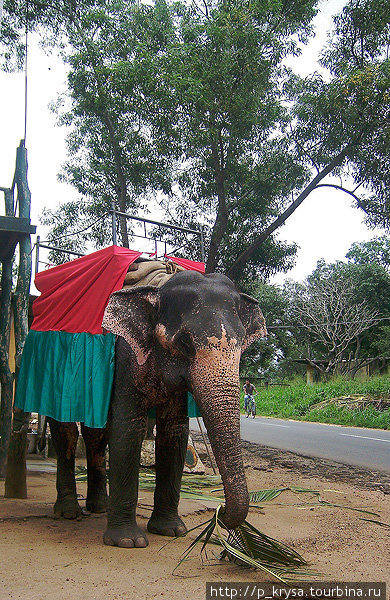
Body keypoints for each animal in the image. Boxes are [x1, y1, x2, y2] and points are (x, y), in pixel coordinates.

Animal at [47, 272, 266, 548]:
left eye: (242, 344)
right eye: (184, 342)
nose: (220, 512)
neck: (160, 287)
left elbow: (174, 431)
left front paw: (172, 530)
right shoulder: (126, 356)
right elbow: (128, 427)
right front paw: (128, 541)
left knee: (95, 435)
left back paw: (100, 507)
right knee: (65, 431)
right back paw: (68, 512)